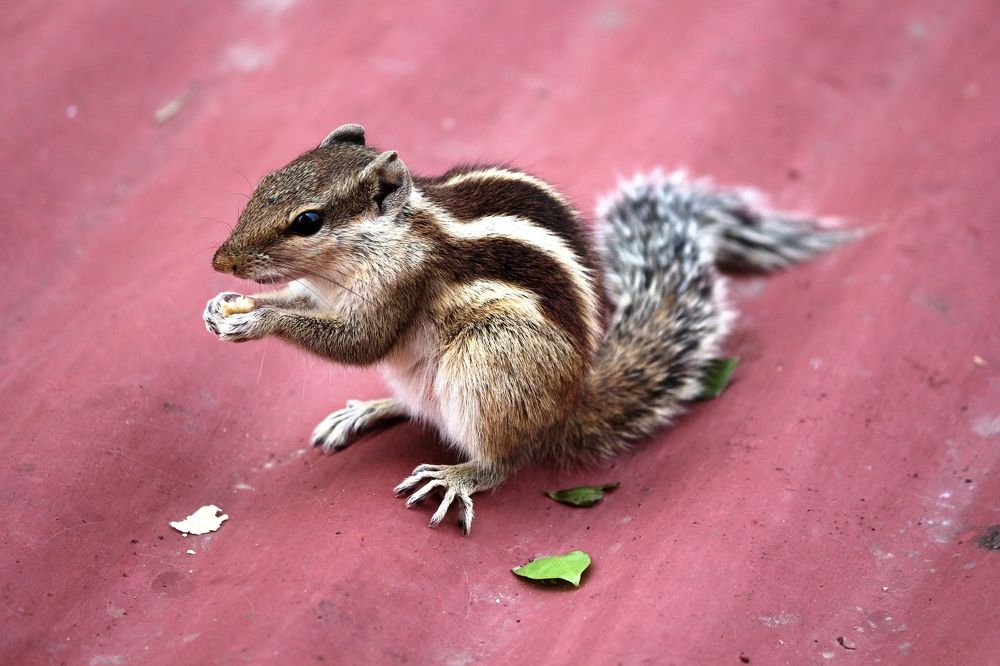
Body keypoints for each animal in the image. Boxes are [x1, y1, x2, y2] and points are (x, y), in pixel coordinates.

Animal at [204, 123, 855, 534]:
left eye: (308, 221)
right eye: (267, 180)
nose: (220, 260)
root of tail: (565, 409)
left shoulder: (397, 286)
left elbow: (360, 342)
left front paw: (256, 317)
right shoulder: (322, 290)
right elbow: (305, 302)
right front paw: (224, 305)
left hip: (488, 363)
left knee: (503, 459)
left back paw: (459, 476)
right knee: (417, 409)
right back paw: (366, 409)